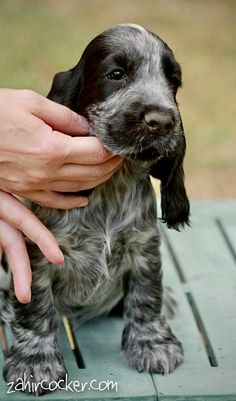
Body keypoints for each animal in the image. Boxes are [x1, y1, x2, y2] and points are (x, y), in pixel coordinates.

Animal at [1, 24, 190, 394]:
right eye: (116, 74)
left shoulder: (144, 246)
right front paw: (35, 363)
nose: (162, 121)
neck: (110, 186)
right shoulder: (36, 252)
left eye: (172, 82)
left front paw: (152, 344)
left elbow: (146, 295)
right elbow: (35, 308)